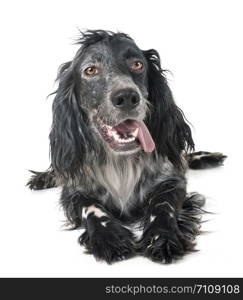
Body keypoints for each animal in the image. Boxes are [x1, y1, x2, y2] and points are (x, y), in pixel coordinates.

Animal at [27, 30, 227, 264]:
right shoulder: (74, 191)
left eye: (138, 64)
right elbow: (91, 208)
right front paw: (109, 237)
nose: (127, 97)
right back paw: (42, 178)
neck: (121, 161)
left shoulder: (172, 180)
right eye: (90, 70)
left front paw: (161, 237)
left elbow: (163, 205)